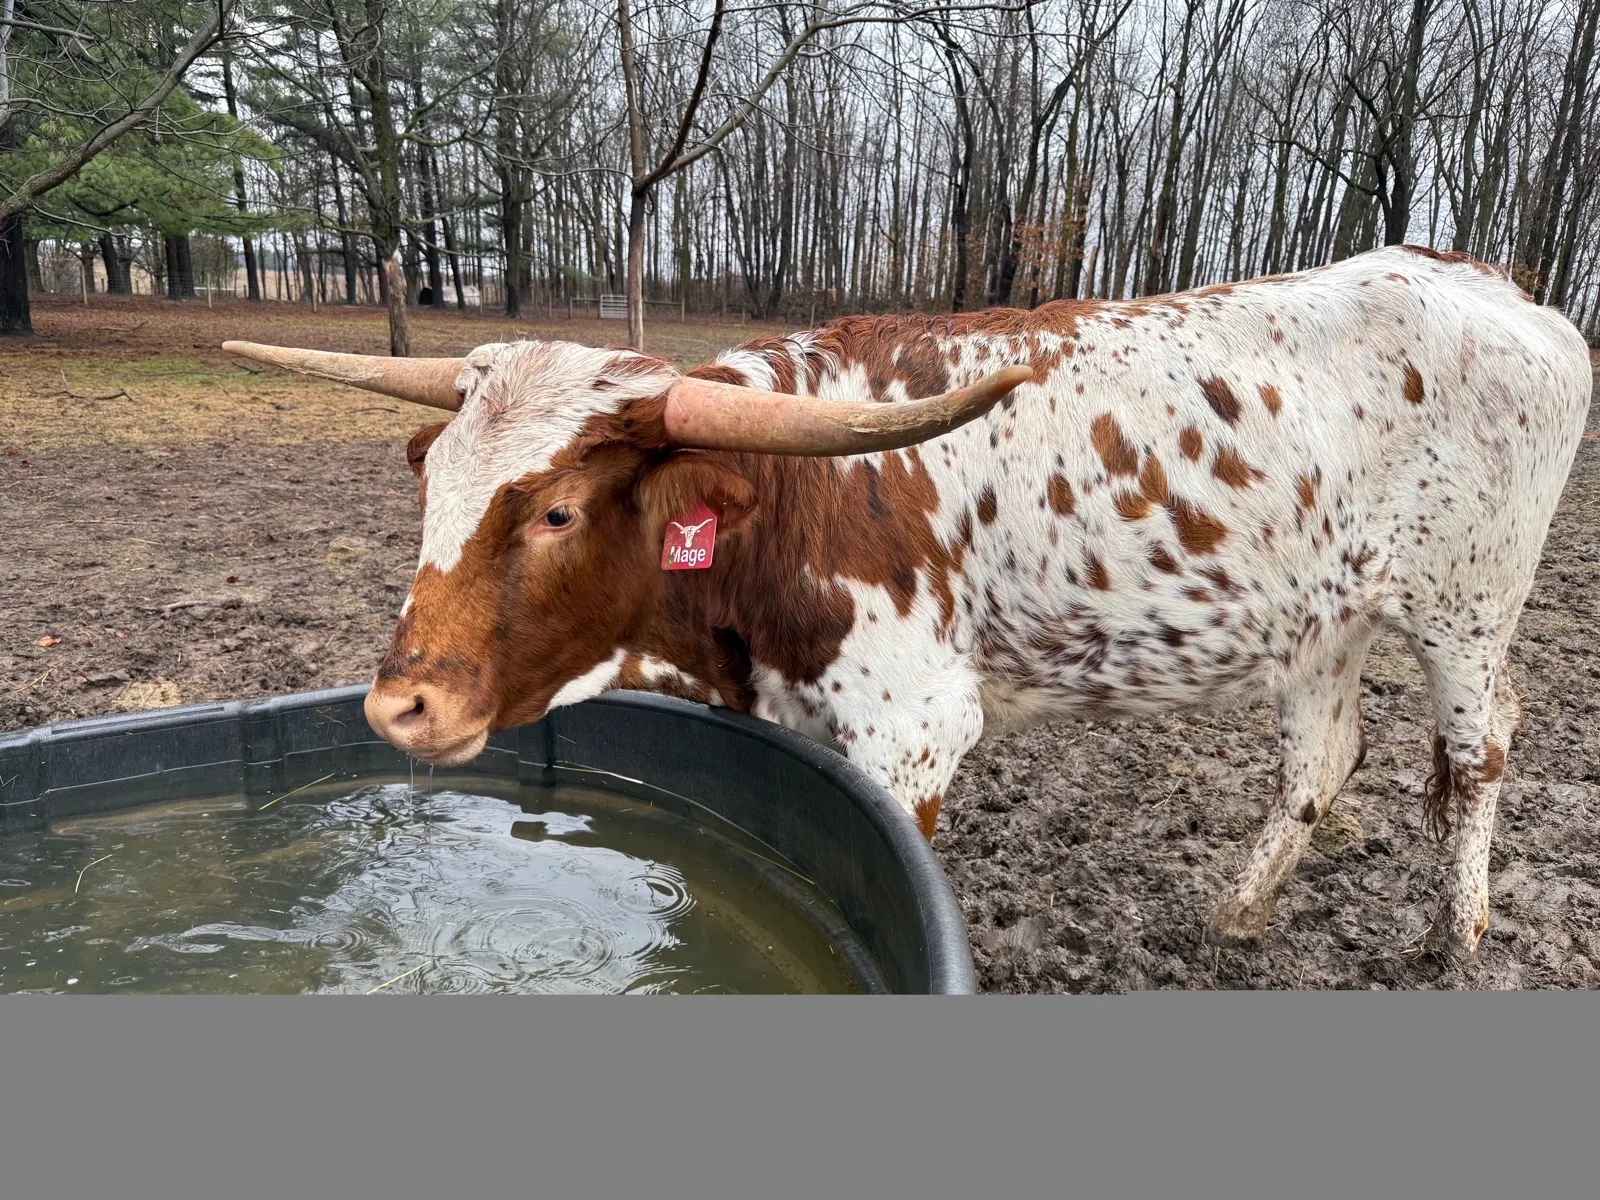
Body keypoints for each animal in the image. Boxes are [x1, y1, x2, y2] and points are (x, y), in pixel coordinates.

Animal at [224, 244, 1592, 957]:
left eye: (557, 511)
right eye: (430, 483)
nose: (399, 708)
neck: (787, 503)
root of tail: (1489, 282)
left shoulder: (915, 725)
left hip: (1467, 609)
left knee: (1480, 752)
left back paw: (1458, 930)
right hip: (1321, 619)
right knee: (1319, 758)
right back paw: (1233, 913)